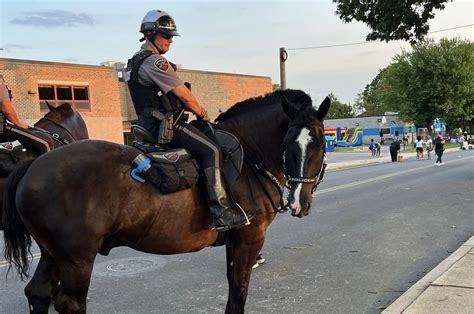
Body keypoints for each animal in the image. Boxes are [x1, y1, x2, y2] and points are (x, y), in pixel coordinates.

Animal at [2, 89, 330, 312]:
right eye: (288, 143)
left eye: (319, 143)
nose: (299, 202)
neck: (249, 156)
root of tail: (35, 163)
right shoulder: (250, 239)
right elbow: (238, 294)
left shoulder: (235, 242)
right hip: (77, 259)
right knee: (69, 303)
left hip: (52, 253)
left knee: (38, 293)